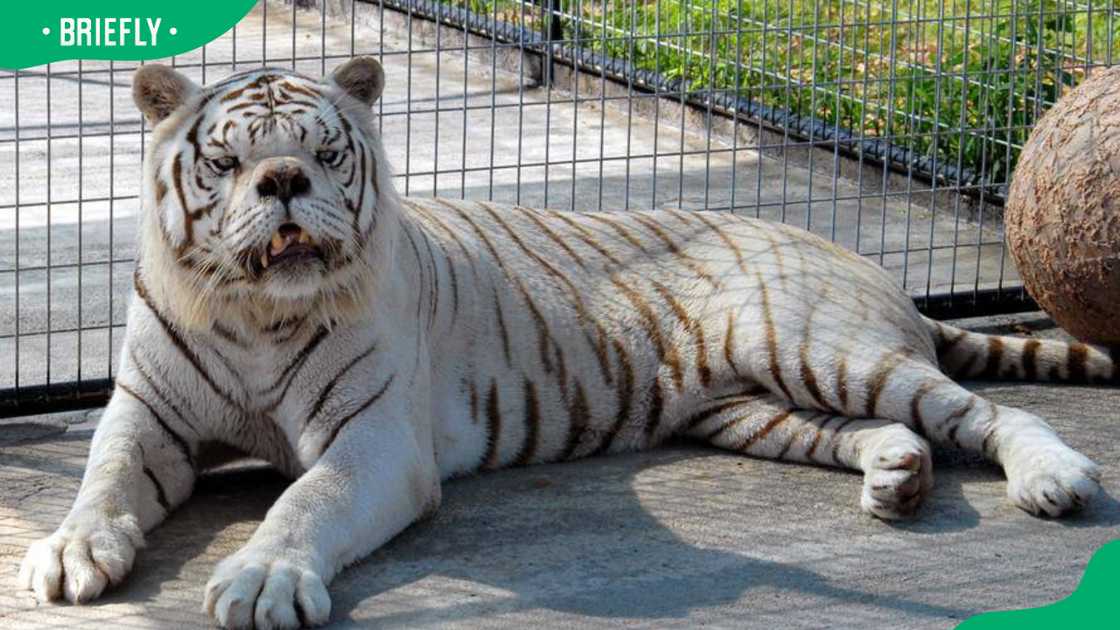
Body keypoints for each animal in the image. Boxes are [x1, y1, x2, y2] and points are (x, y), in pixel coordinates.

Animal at [15, 56, 1111, 623]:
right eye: (229, 161)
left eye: (324, 153)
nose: (284, 182)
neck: (254, 310)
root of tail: (859, 259)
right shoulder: (147, 417)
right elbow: (103, 481)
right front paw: (67, 552)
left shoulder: (375, 443)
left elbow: (304, 500)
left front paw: (261, 578)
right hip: (756, 409)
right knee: (889, 432)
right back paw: (897, 479)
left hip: (823, 348)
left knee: (987, 413)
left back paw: (1052, 479)